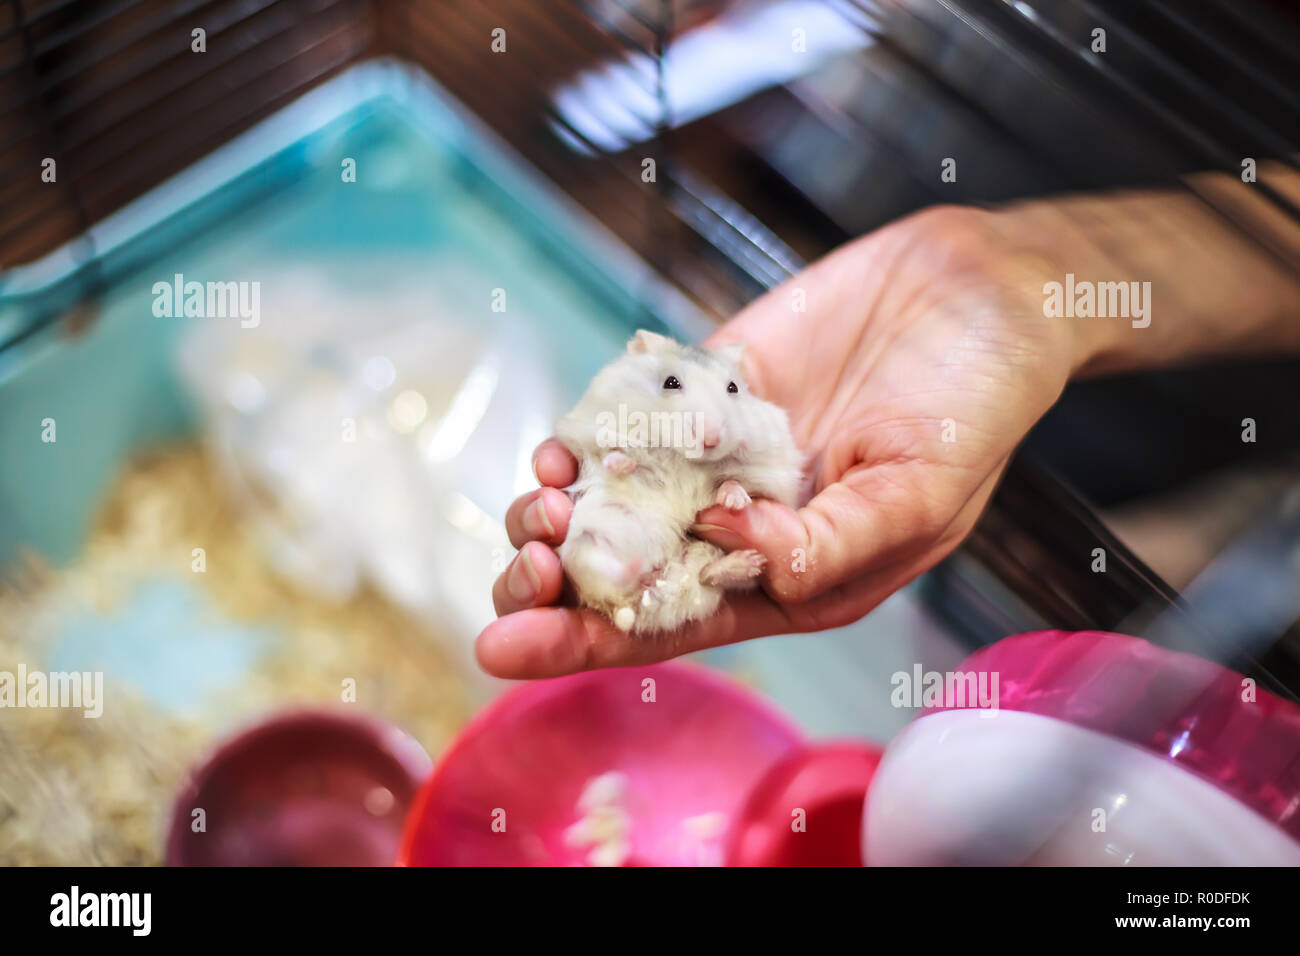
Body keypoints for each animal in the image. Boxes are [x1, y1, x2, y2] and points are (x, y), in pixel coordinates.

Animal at [556, 329, 803, 634]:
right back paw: (637, 568)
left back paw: (746, 562)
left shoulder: (774, 477)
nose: (711, 440)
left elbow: (732, 483)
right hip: (584, 544)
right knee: (605, 573)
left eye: (733, 387)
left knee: (710, 575)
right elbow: (615, 454)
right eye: (670, 383)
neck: (686, 459)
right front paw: (622, 463)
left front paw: (736, 503)